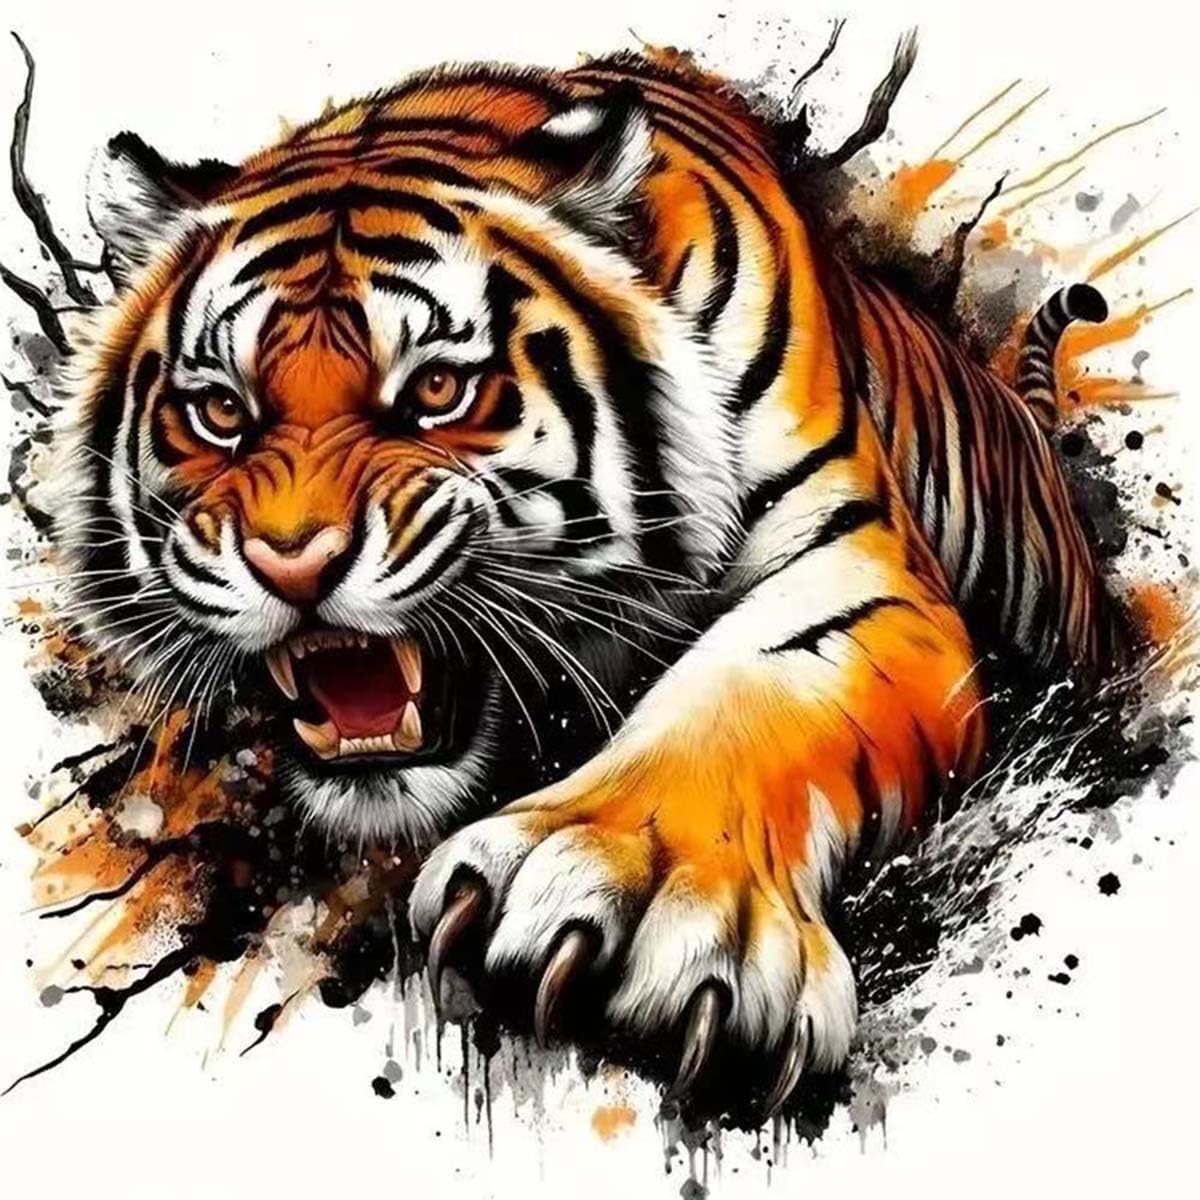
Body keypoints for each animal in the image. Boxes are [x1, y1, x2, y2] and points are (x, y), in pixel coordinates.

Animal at [57, 48, 1118, 1112]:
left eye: (438, 391)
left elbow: (751, 689)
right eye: (220, 411)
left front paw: (637, 887)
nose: (293, 561)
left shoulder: (856, 561)